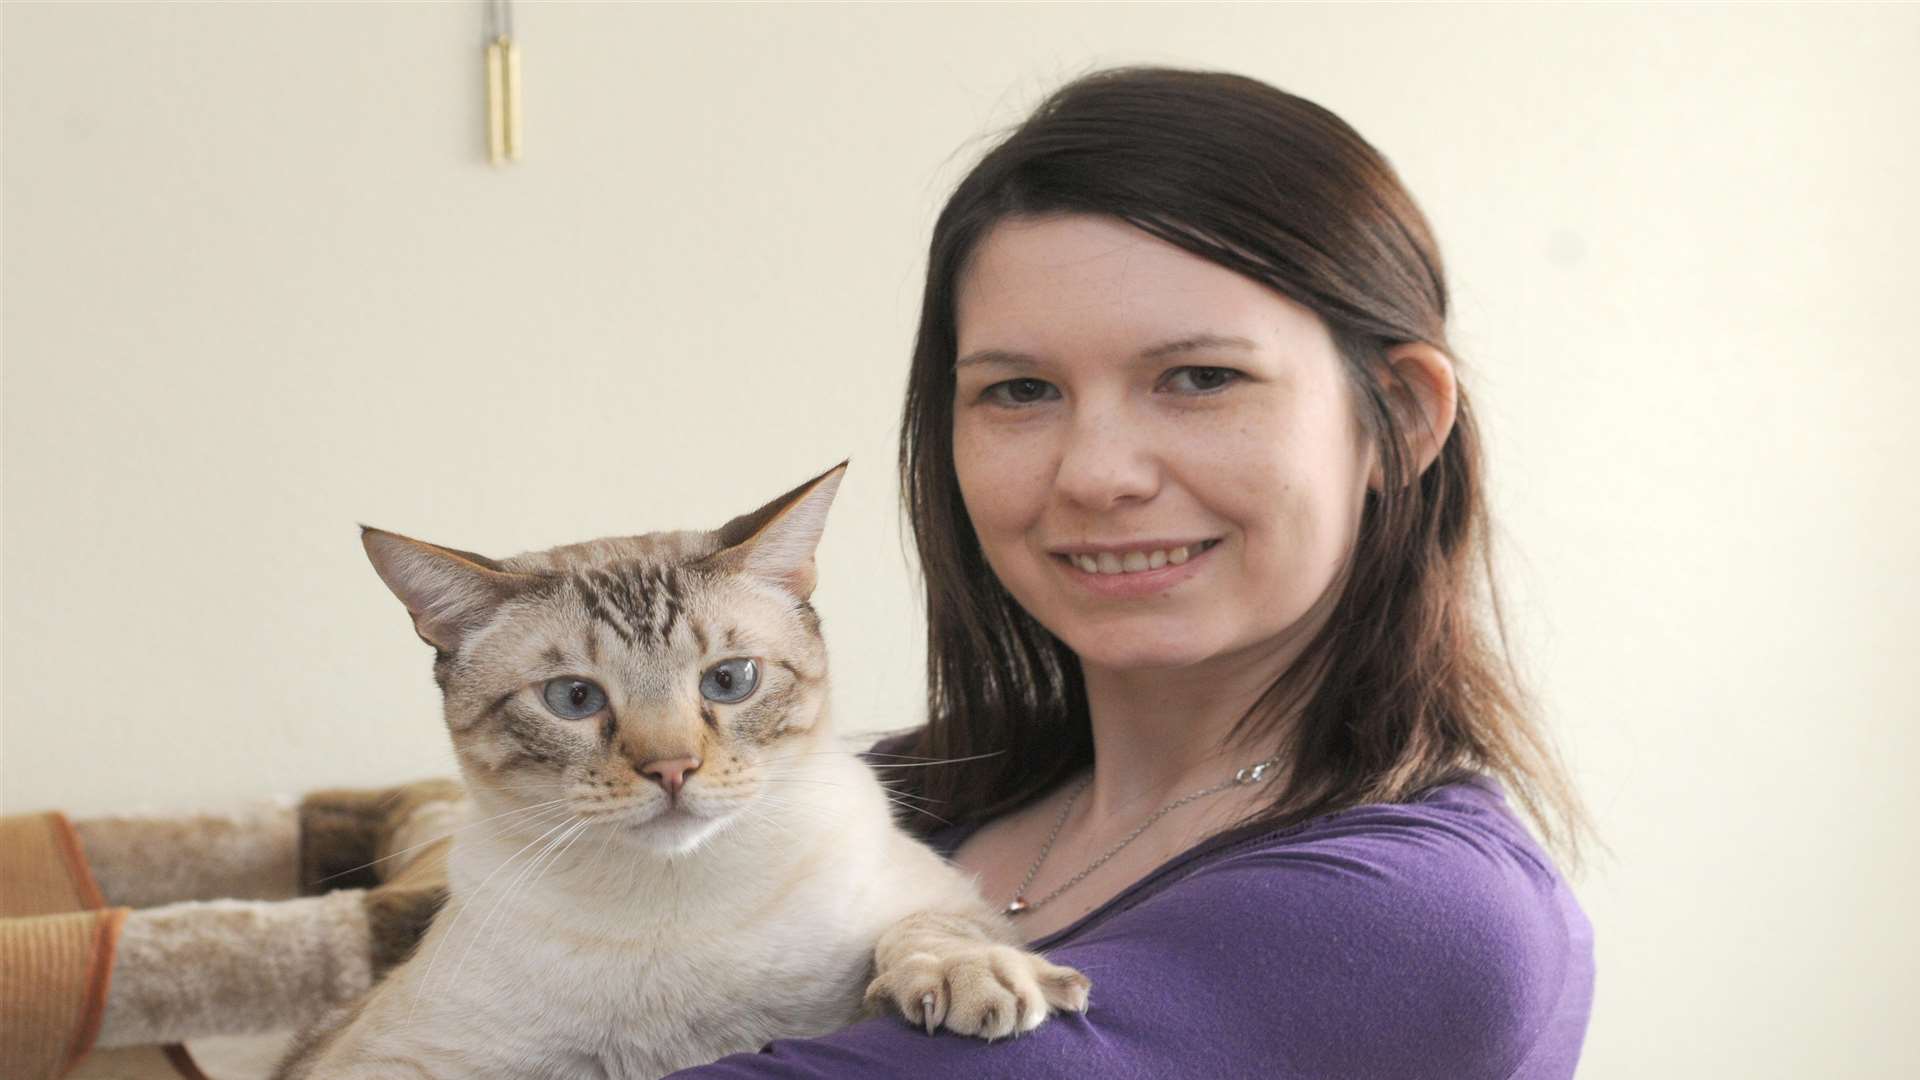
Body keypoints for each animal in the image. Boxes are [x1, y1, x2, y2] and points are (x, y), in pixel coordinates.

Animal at [280, 465, 1098, 1076]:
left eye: (729, 680)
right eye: (574, 699)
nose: (672, 768)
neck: (675, 903)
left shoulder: (927, 912)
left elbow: (932, 929)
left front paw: (970, 977)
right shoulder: (385, 1063)